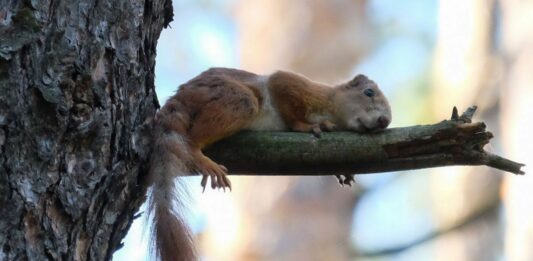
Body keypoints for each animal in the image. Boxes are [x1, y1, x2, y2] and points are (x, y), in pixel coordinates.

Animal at [145, 67, 390, 260]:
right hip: (237, 99)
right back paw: (200, 156)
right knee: (196, 138)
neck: (332, 105)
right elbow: (284, 95)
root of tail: (183, 94)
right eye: (368, 92)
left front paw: (342, 172)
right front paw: (306, 126)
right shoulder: (294, 85)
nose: (384, 121)